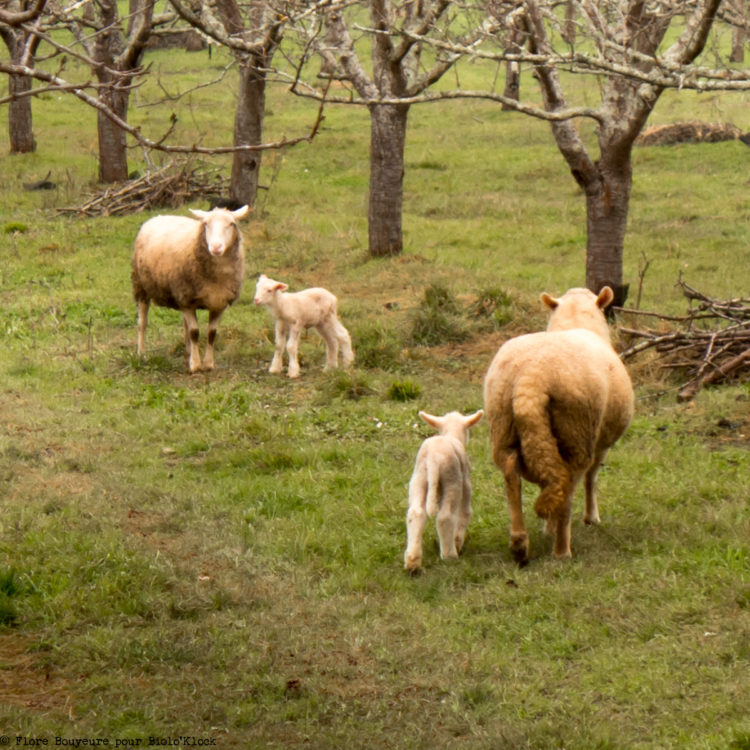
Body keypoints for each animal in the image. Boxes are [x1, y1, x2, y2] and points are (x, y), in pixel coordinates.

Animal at [133, 206, 253, 374]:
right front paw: (196, 365)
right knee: (142, 323)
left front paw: (208, 364)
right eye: (206, 224)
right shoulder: (187, 301)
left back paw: (187, 355)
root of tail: (157, 216)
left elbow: (211, 333)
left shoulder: (218, 303)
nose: (216, 247)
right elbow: (194, 332)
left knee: (185, 326)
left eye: (231, 224)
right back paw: (141, 354)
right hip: (142, 287)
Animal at [408, 408, 484, 572]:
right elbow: (465, 512)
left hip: (419, 478)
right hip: (452, 480)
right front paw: (457, 542)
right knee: (445, 516)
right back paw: (450, 556)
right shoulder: (465, 482)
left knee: (416, 513)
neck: (452, 435)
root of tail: (434, 458)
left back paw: (412, 562)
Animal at [484, 290, 636, 568]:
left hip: (502, 425)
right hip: (576, 434)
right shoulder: (601, 444)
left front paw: (547, 527)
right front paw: (590, 518)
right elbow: (592, 478)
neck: (575, 321)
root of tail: (531, 376)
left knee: (513, 476)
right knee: (568, 487)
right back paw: (562, 550)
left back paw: (520, 544)